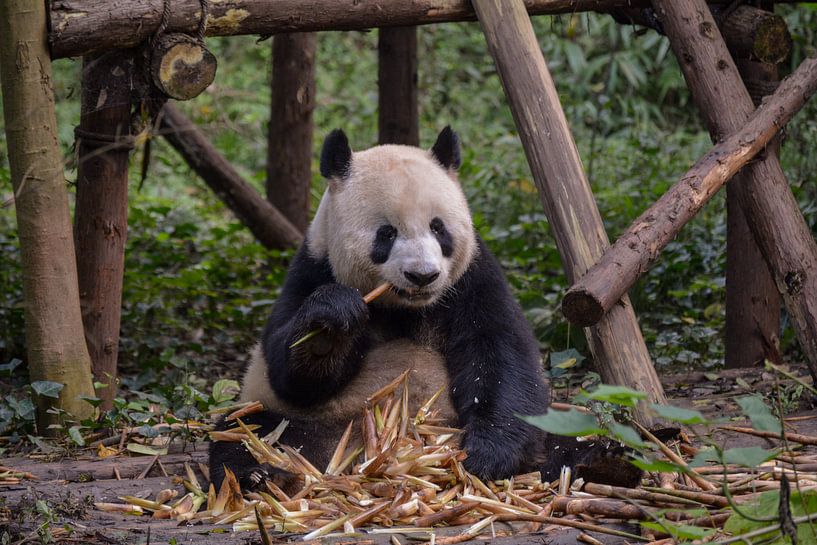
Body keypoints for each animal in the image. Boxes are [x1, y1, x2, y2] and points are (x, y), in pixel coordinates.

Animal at [206, 126, 636, 488]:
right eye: (386, 234)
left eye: (438, 228)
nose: (423, 275)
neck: (404, 307)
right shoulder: (312, 266)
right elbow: (290, 372)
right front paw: (329, 326)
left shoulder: (471, 278)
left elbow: (501, 357)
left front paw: (486, 456)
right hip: (299, 421)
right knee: (246, 431)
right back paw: (265, 475)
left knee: (568, 431)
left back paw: (601, 462)